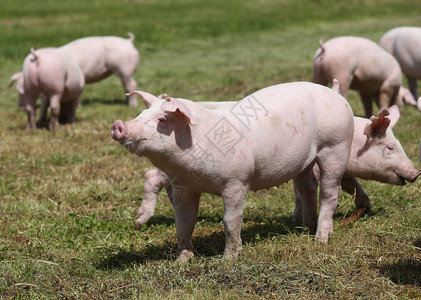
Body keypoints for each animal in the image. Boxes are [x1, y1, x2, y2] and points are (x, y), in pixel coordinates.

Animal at [111, 81, 354, 260]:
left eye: (161, 119)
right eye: (141, 114)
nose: (118, 124)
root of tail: (335, 93)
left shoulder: (237, 181)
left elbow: (230, 220)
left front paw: (228, 258)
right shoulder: (183, 187)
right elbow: (183, 223)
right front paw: (182, 260)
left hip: (336, 145)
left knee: (330, 193)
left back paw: (320, 240)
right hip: (305, 160)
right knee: (308, 188)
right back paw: (305, 228)